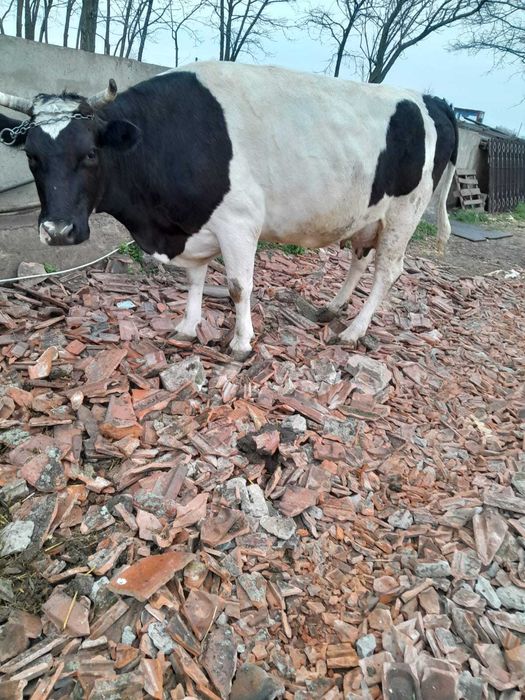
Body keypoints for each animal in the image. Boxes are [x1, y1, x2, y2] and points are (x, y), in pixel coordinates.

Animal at [0, 62, 457, 356]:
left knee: (387, 271)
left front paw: (241, 343)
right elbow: (195, 280)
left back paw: (353, 332)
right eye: (32, 157)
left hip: (405, 213)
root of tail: (430, 99)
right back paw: (331, 308)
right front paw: (187, 328)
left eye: (91, 153)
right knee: (360, 257)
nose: (57, 230)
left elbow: (239, 286)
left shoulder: (239, 222)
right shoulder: (192, 223)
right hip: (369, 213)